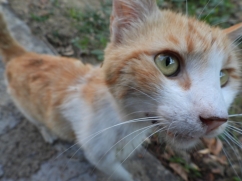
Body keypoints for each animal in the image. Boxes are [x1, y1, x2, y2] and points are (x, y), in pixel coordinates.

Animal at [0, 0, 241, 181]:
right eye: (168, 62)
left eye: (223, 76)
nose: (215, 119)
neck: (127, 122)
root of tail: (22, 55)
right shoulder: (99, 157)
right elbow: (123, 176)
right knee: (37, 121)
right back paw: (47, 132)